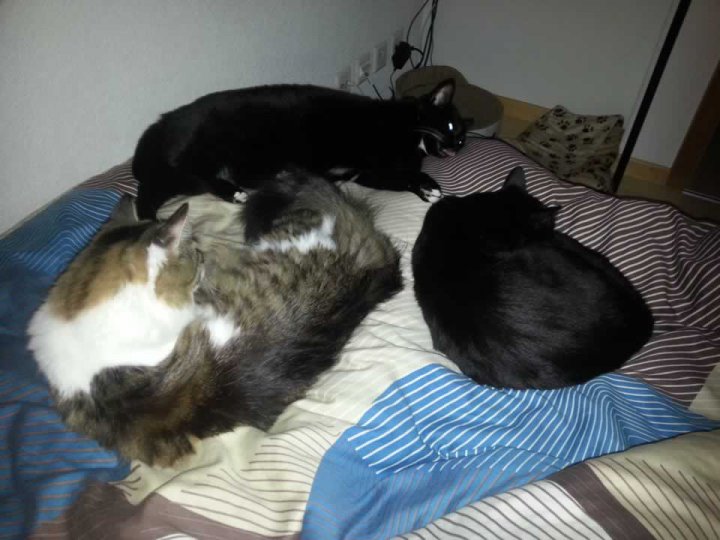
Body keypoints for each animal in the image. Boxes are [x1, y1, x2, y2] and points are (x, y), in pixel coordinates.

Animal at [132, 79, 467, 219]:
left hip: (178, 177)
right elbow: (406, 175)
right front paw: (429, 184)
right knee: (188, 176)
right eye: (452, 127)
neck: (411, 132)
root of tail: (166, 120)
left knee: (154, 189)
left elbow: (400, 179)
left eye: (463, 139)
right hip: (204, 151)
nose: (456, 146)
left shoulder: (366, 174)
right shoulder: (375, 163)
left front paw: (425, 189)